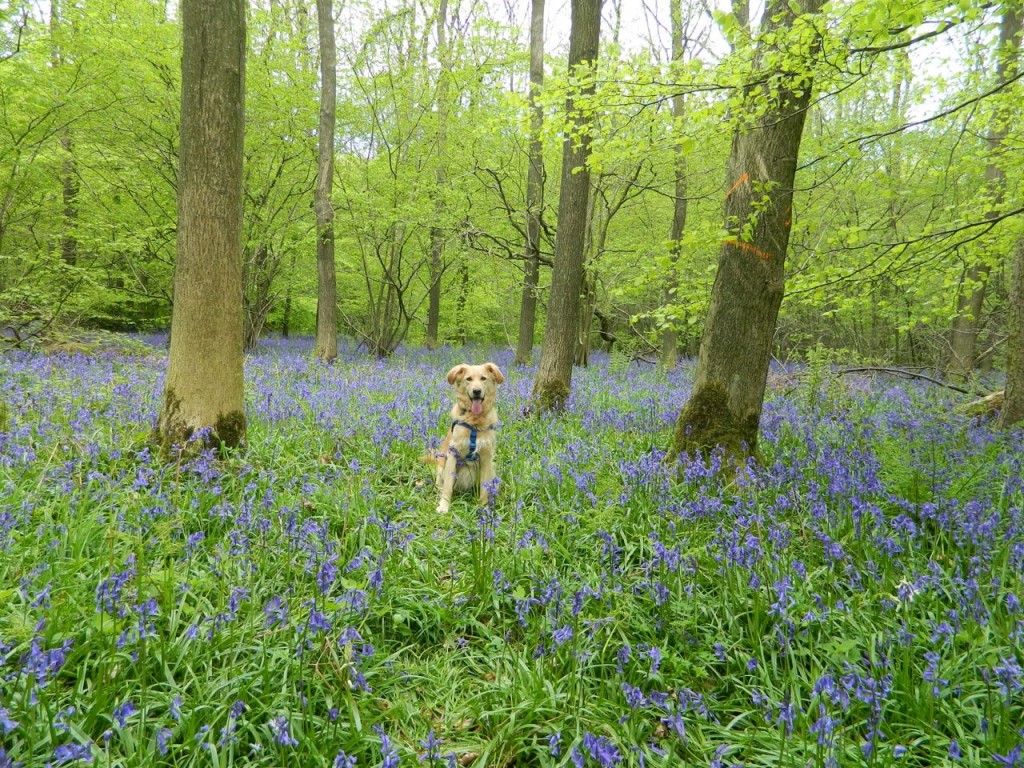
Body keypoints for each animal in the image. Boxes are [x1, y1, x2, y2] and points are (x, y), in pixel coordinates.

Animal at [419, 362, 503, 514]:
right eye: (468, 379)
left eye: (483, 378)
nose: (476, 391)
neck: (474, 423)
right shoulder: (453, 453)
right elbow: (448, 486)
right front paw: (444, 506)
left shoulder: (487, 457)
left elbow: (484, 487)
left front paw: (484, 508)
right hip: (441, 464)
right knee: (440, 484)